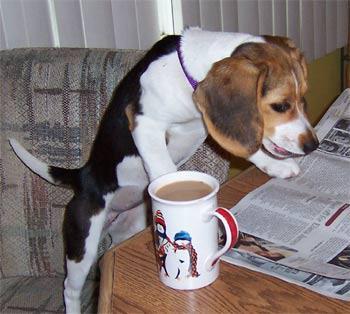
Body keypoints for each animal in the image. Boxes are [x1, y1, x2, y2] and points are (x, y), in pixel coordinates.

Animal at [9, 28, 318, 312]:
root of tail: (84, 175)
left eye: (303, 98)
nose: (313, 145)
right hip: (81, 244)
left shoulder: (210, 125)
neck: (187, 74)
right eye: (280, 105)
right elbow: (165, 168)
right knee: (70, 288)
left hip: (128, 226)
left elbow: (249, 146)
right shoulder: (145, 123)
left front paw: (275, 166)